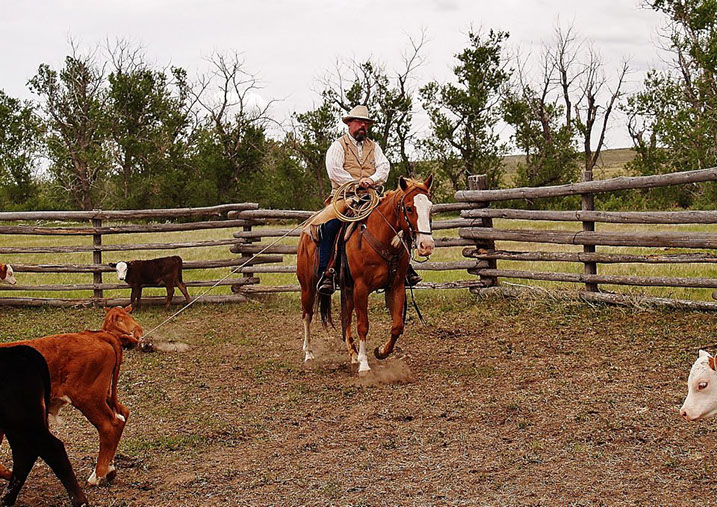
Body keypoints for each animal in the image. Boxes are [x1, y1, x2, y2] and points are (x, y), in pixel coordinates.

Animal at [0, 306, 143, 486]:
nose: (138, 330)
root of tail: (93, 335)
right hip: (104, 395)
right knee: (123, 413)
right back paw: (109, 469)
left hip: (88, 398)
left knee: (110, 425)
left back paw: (98, 475)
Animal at [0, 345, 88, 506]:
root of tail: (18, 350)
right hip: (17, 427)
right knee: (25, 454)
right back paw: (6, 499)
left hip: (24, 423)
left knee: (52, 449)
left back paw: (80, 501)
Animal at [297, 175, 435, 374]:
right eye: (409, 208)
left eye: (430, 208)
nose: (427, 245)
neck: (381, 237)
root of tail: (308, 228)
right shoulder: (361, 288)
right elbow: (363, 325)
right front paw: (364, 364)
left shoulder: (396, 286)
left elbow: (397, 326)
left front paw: (381, 351)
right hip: (308, 287)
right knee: (307, 316)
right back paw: (309, 353)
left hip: (347, 288)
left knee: (345, 318)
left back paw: (353, 355)